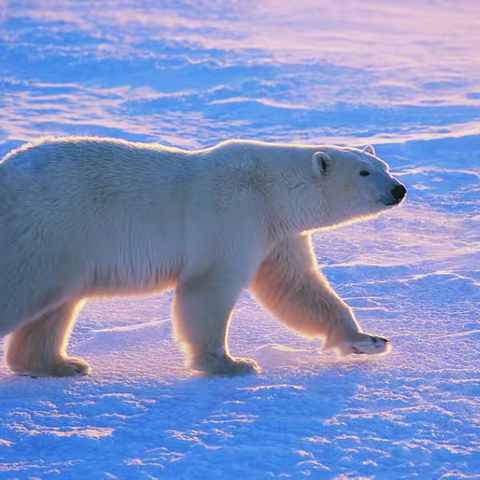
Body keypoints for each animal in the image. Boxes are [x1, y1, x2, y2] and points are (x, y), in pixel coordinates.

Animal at [0, 137, 404, 376]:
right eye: (365, 172)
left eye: (385, 166)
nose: (399, 189)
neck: (271, 189)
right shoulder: (233, 214)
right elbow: (209, 286)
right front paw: (231, 363)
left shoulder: (277, 233)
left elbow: (297, 285)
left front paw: (368, 340)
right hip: (51, 230)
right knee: (23, 291)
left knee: (57, 305)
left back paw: (60, 364)